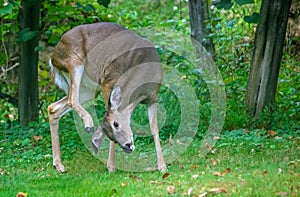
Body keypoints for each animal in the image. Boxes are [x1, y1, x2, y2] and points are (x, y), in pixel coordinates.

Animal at [48, 21, 168, 172]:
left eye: (116, 124)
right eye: (112, 128)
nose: (128, 146)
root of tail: (52, 57)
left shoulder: (153, 97)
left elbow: (154, 128)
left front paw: (162, 166)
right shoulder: (108, 82)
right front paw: (111, 166)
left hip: (88, 90)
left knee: (53, 107)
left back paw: (58, 164)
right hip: (73, 61)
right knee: (71, 99)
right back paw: (88, 124)